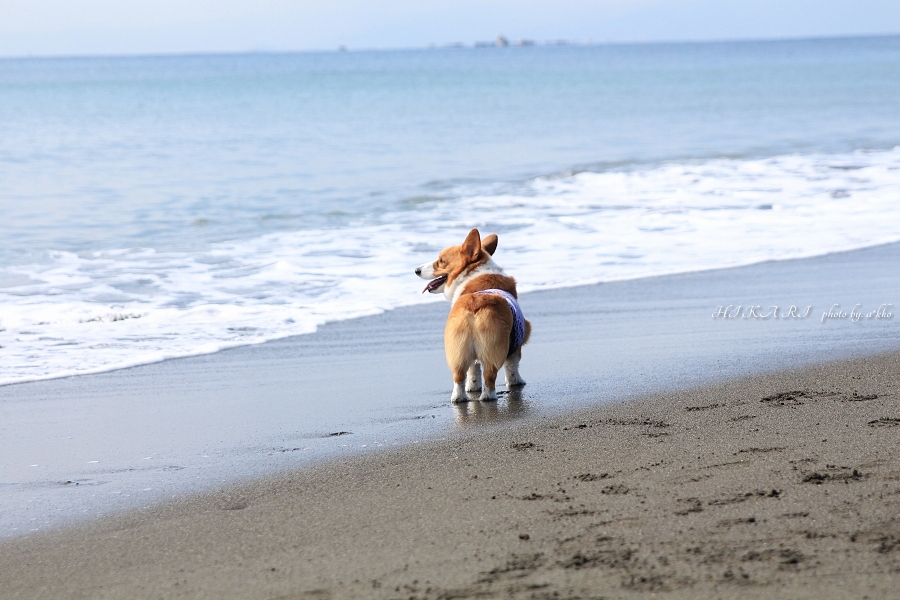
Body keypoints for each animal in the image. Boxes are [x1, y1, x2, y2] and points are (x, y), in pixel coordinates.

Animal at [416, 229, 532, 404]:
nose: (417, 270)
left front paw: (473, 387)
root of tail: (473, 307)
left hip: (458, 349)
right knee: (490, 375)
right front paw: (516, 382)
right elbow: (512, 367)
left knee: (459, 376)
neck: (472, 272)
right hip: (494, 348)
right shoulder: (516, 344)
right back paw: (488, 396)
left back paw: (459, 398)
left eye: (442, 261)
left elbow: (473, 370)